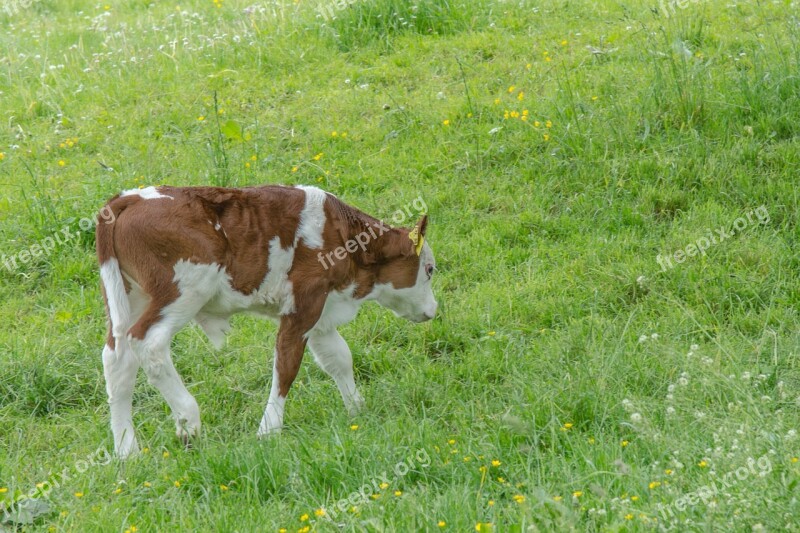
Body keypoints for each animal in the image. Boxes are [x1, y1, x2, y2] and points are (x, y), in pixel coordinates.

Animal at [97, 184, 440, 458]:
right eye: (430, 269)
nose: (433, 310)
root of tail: (131, 197)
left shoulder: (321, 312)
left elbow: (339, 359)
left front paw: (357, 410)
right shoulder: (303, 307)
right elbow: (286, 367)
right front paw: (269, 430)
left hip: (131, 296)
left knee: (118, 359)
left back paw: (127, 451)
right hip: (185, 290)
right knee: (148, 342)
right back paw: (188, 421)